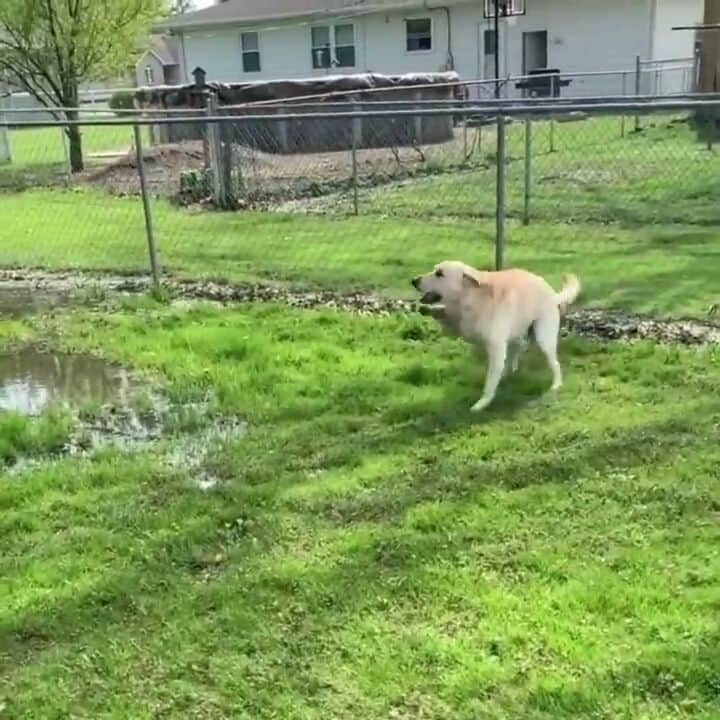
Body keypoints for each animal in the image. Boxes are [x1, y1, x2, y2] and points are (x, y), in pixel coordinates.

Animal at [410, 262, 580, 410]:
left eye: (439, 273)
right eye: (435, 270)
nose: (413, 280)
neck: (473, 297)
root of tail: (552, 294)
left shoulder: (496, 347)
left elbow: (490, 381)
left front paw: (482, 403)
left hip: (543, 339)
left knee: (554, 364)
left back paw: (556, 384)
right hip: (517, 333)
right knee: (518, 347)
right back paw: (509, 371)